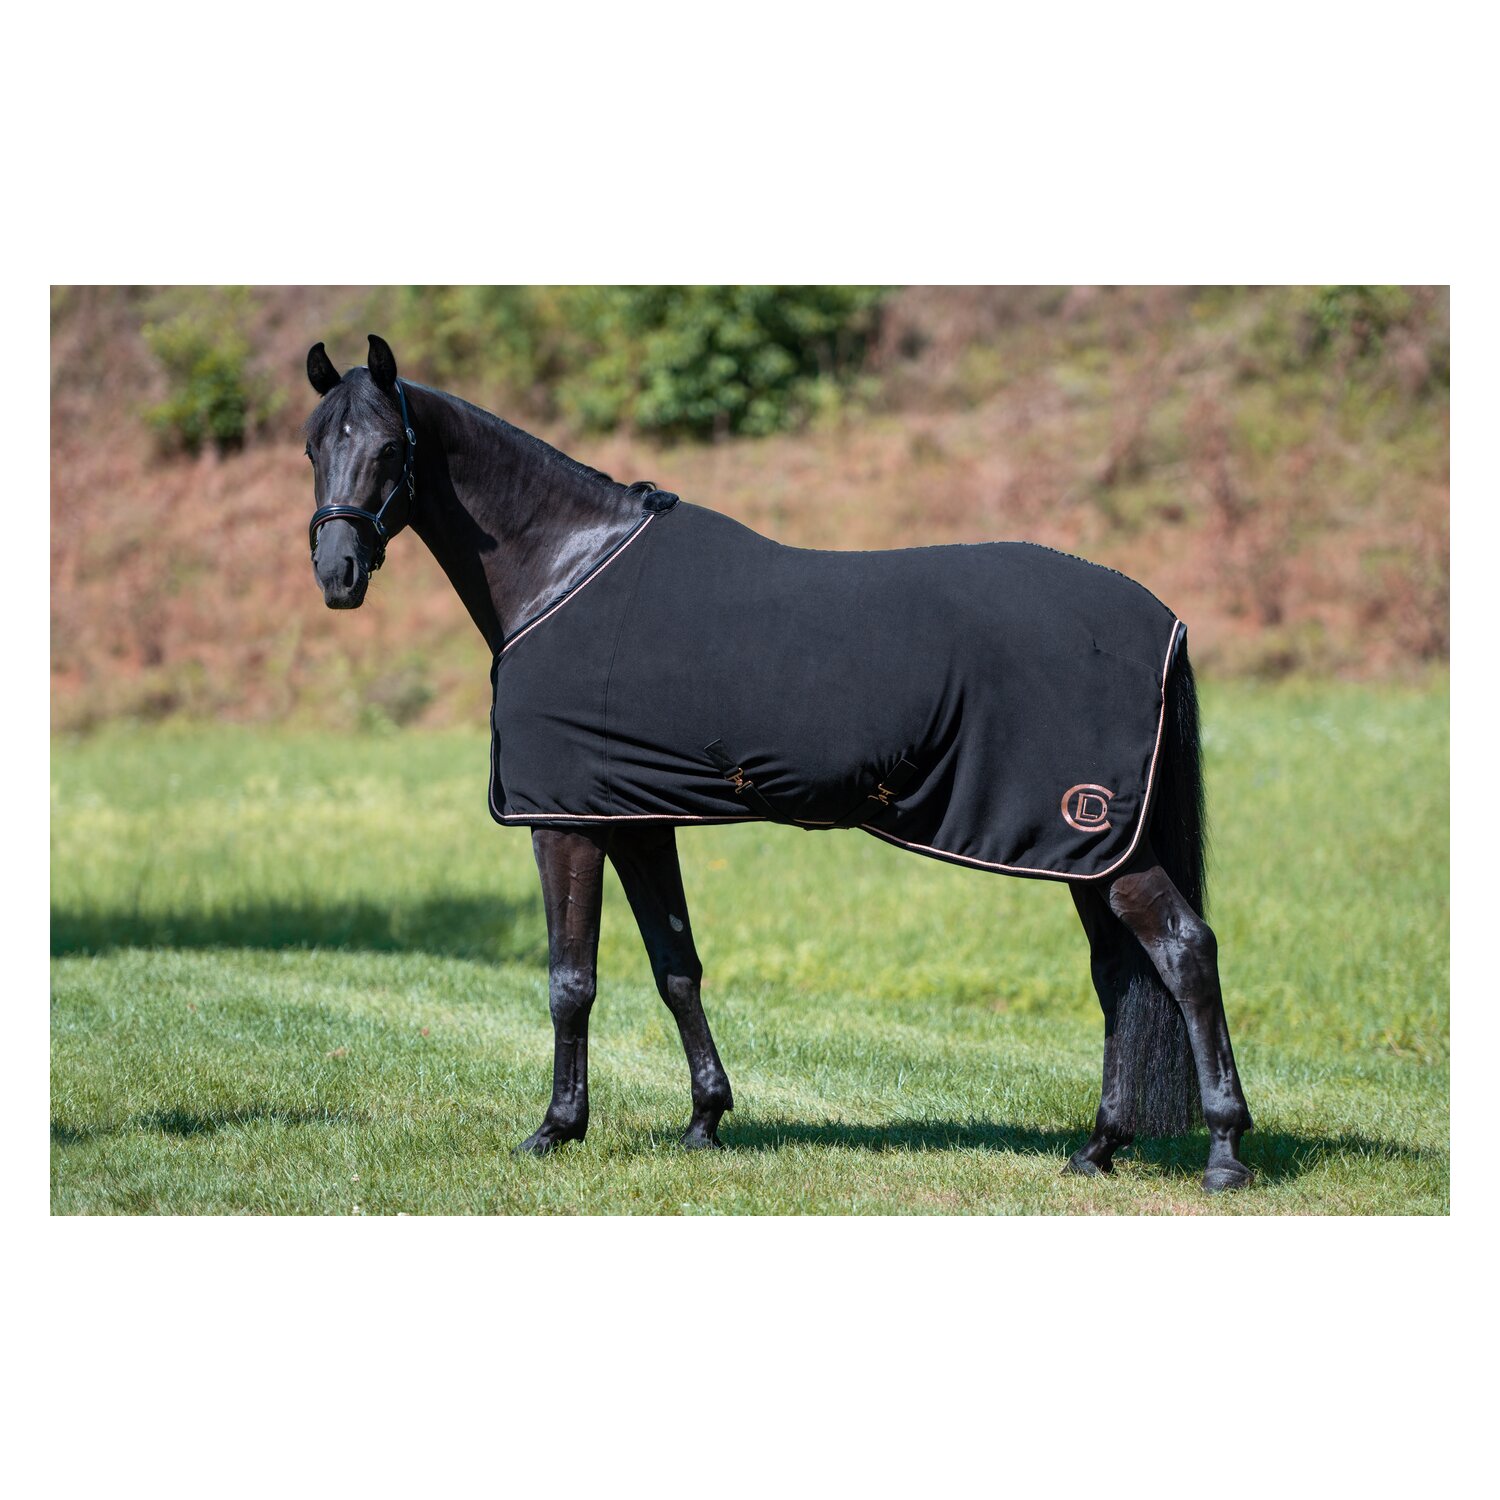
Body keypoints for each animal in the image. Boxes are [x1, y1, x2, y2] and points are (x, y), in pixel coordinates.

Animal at [302, 334, 1255, 1193]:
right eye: (315, 445)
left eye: (388, 448)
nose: (337, 574)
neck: (563, 569)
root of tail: (1159, 618)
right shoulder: (635, 816)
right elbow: (676, 967)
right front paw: (705, 1119)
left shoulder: (564, 820)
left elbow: (571, 980)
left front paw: (555, 1131)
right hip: (1091, 852)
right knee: (1119, 973)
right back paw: (1098, 1149)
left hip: (1091, 834)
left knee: (1184, 952)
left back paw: (1224, 1152)